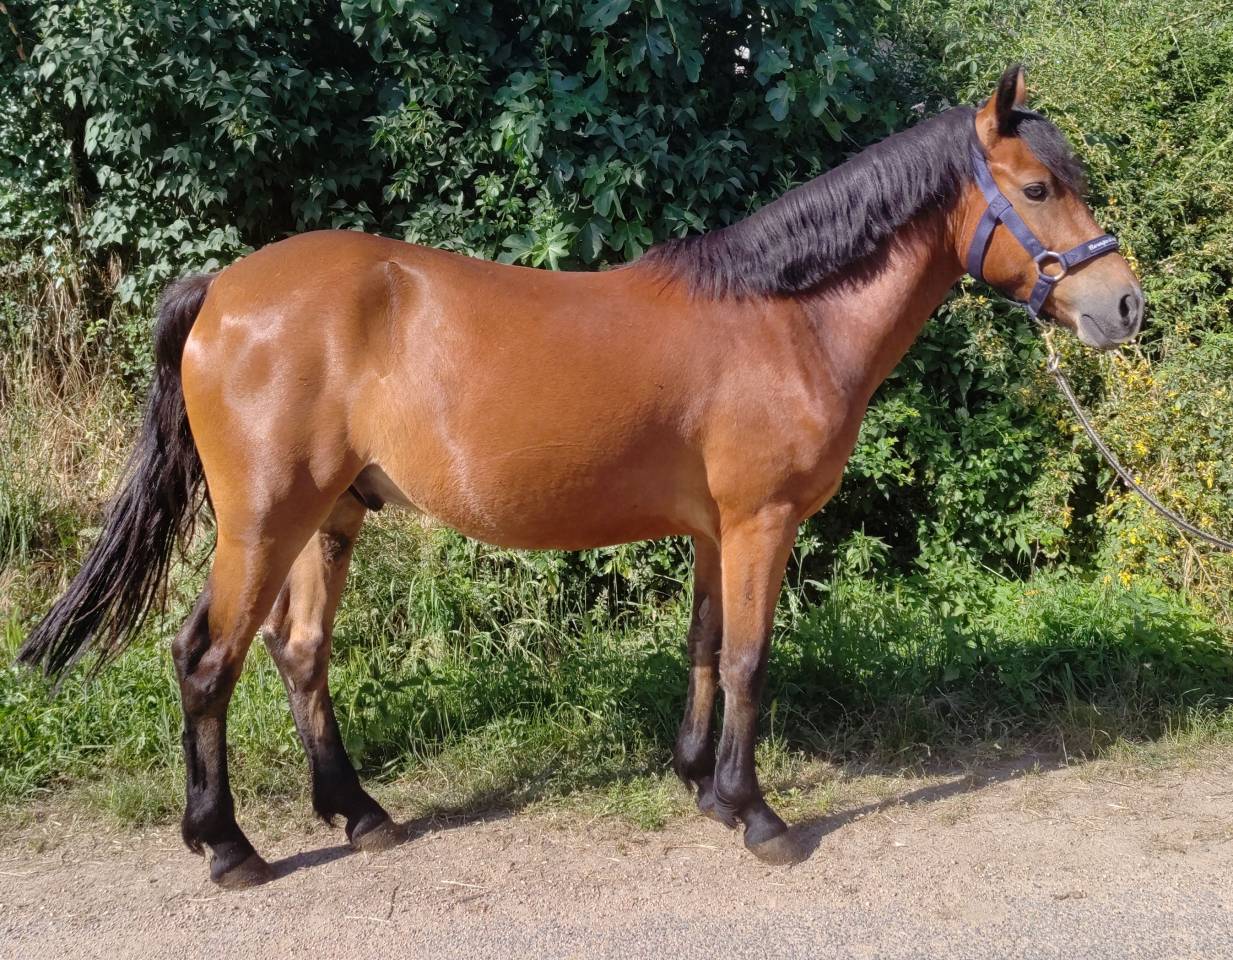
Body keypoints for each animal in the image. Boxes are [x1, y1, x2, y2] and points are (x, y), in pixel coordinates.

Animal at [19, 64, 1142, 887]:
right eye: (1037, 189)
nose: (1125, 306)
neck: (786, 316)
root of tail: (221, 290)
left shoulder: (713, 527)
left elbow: (704, 648)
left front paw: (704, 787)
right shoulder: (762, 520)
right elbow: (749, 659)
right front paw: (759, 816)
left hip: (326, 516)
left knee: (298, 655)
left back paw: (360, 814)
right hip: (263, 519)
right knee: (205, 659)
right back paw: (227, 847)